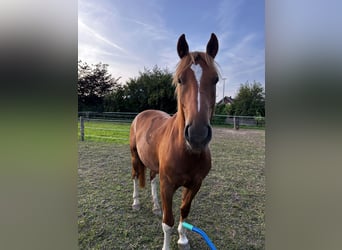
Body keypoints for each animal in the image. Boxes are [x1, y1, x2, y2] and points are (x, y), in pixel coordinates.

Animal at [128, 33, 219, 250]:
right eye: (180, 80)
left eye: (216, 80)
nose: (197, 134)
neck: (186, 151)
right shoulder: (167, 186)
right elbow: (167, 222)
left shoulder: (195, 184)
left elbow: (184, 210)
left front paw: (183, 239)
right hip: (135, 156)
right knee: (135, 176)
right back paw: (136, 203)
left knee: (152, 179)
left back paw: (155, 206)